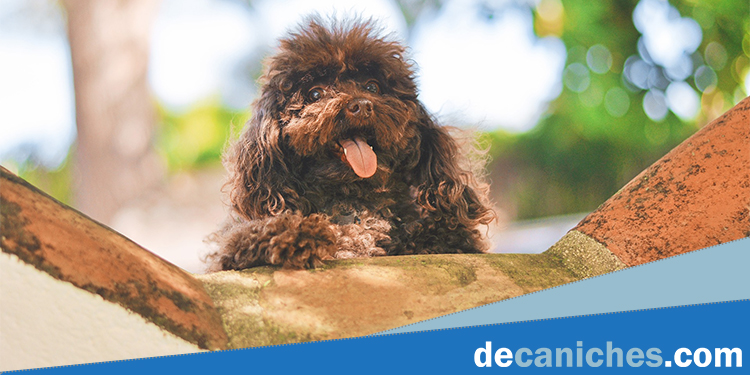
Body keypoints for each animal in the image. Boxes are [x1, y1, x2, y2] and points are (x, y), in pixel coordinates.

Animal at [209, 17, 496, 270]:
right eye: (315, 93)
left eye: (373, 87)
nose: (362, 105)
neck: (352, 203)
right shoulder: (228, 251)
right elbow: (249, 235)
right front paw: (299, 233)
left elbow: (448, 235)